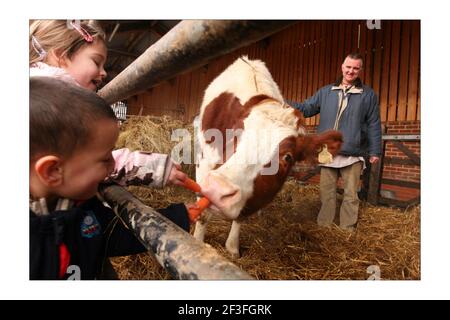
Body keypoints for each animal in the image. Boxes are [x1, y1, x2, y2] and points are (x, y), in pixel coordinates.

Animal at [193, 55, 342, 258]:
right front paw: (197, 243)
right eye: (235, 135)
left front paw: (232, 247)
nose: (218, 188)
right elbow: (202, 212)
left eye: (287, 157)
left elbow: (241, 216)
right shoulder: (204, 162)